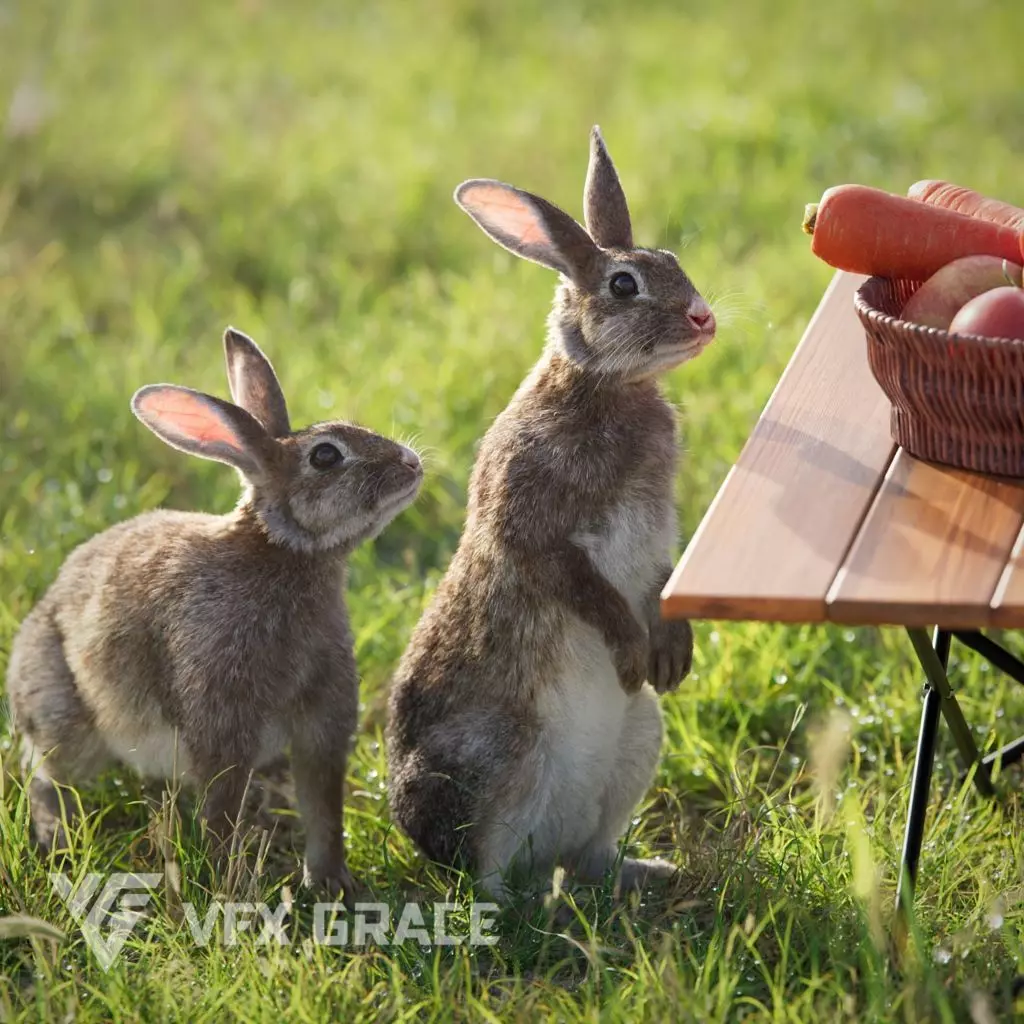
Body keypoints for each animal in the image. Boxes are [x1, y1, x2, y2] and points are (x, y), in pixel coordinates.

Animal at [7, 327, 423, 901]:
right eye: (324, 456)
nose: (412, 462)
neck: (284, 556)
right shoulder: (221, 722)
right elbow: (222, 812)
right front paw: (233, 891)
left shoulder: (322, 721)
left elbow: (323, 808)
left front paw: (332, 885)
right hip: (66, 718)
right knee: (46, 774)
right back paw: (56, 837)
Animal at [386, 126, 715, 901]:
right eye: (623, 286)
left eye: (671, 260)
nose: (703, 317)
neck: (604, 385)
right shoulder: (529, 526)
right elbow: (581, 584)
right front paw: (632, 652)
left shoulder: (658, 534)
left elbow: (664, 574)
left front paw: (671, 656)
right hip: (499, 761)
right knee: (487, 877)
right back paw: (532, 907)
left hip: (638, 738)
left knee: (589, 854)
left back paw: (641, 875)